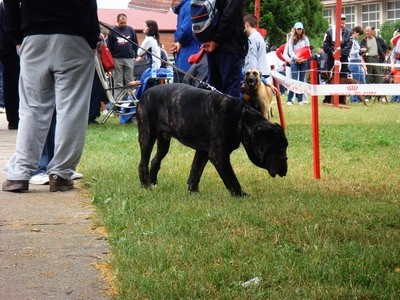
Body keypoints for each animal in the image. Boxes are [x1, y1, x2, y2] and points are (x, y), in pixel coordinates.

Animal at [137, 83, 288, 196]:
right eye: (278, 148)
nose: (285, 160)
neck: (242, 118)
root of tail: (144, 94)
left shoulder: (203, 151)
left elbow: (196, 171)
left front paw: (194, 192)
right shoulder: (219, 154)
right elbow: (231, 178)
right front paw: (241, 195)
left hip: (163, 140)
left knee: (155, 160)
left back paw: (153, 183)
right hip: (147, 135)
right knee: (143, 162)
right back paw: (146, 185)